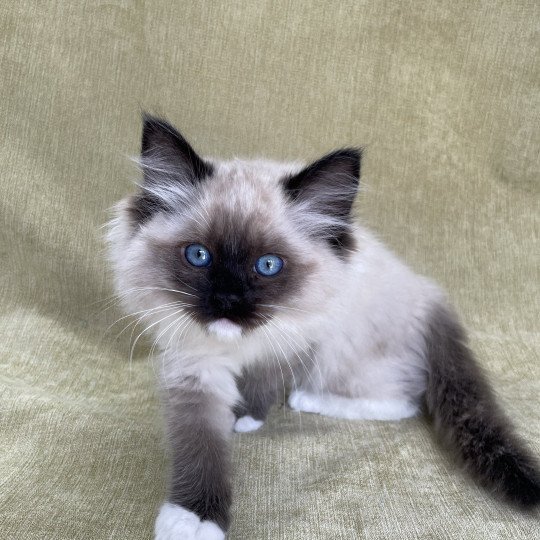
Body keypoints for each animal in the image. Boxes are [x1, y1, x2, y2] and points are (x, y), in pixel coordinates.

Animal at [108, 115, 540, 540]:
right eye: (199, 256)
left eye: (268, 265)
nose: (228, 301)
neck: (242, 345)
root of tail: (427, 293)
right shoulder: (196, 367)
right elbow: (200, 448)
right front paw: (191, 519)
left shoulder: (300, 338)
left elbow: (264, 380)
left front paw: (246, 417)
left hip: (344, 357)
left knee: (403, 403)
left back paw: (308, 399)